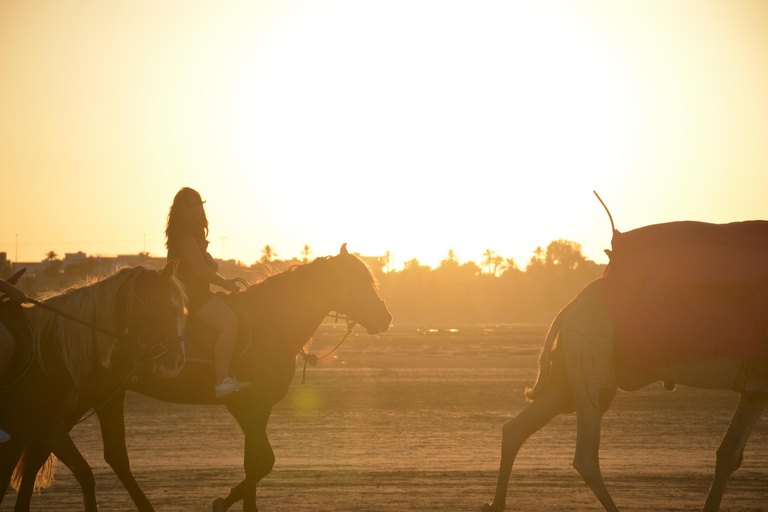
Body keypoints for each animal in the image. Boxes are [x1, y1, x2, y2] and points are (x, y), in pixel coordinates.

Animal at [486, 276, 768, 512]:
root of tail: (568, 308)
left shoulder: (756, 390)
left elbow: (729, 454)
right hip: (592, 348)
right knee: (587, 452)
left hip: (566, 372)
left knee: (517, 428)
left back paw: (495, 504)